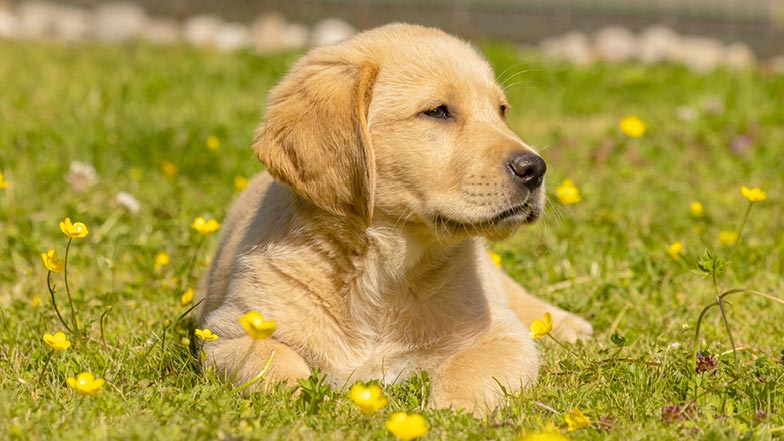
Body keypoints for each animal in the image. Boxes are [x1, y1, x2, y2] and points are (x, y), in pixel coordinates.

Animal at [196, 22, 588, 414]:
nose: (535, 168)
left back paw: (570, 326)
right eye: (437, 112)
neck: (382, 272)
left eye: (502, 110)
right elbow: (275, 364)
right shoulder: (229, 334)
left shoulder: (502, 335)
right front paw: (313, 403)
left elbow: (470, 370)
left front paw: (449, 415)